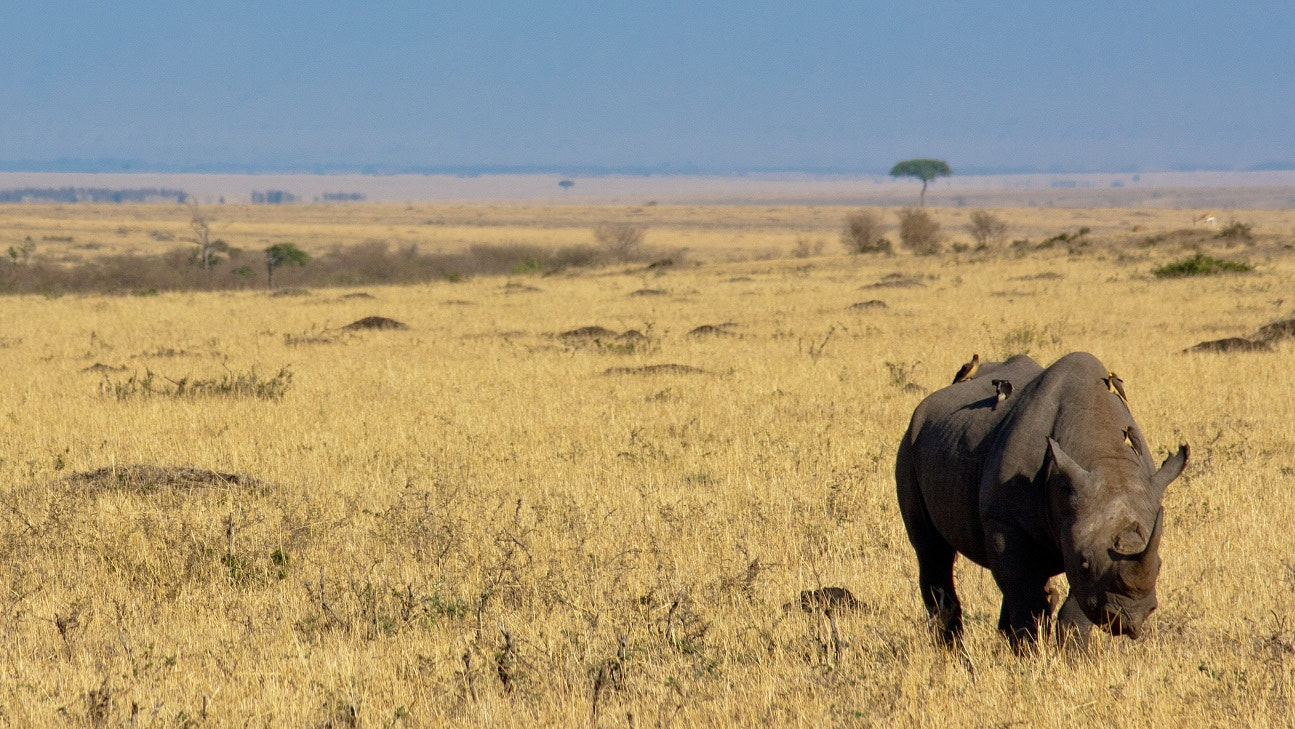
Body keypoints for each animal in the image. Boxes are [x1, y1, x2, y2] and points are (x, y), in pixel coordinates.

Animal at [895, 352, 1188, 648]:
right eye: (1084, 564)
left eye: (1159, 566)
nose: (1127, 619)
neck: (1104, 457)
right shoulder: (1006, 519)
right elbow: (1025, 593)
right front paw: (1029, 652)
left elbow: (1075, 608)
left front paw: (1073, 654)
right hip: (910, 442)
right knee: (932, 551)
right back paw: (952, 651)